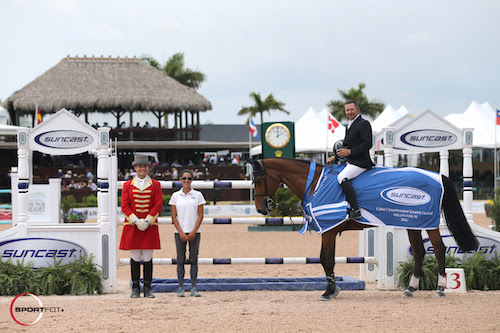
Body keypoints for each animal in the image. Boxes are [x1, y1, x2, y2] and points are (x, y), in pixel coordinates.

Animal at [252, 157, 478, 300]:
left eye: (258, 179)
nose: (262, 208)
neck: (315, 183)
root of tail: (439, 176)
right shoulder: (328, 231)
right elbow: (325, 260)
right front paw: (332, 289)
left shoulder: (329, 230)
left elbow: (327, 259)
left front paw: (329, 292)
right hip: (412, 224)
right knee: (420, 252)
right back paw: (410, 289)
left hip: (428, 224)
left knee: (438, 250)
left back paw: (440, 289)